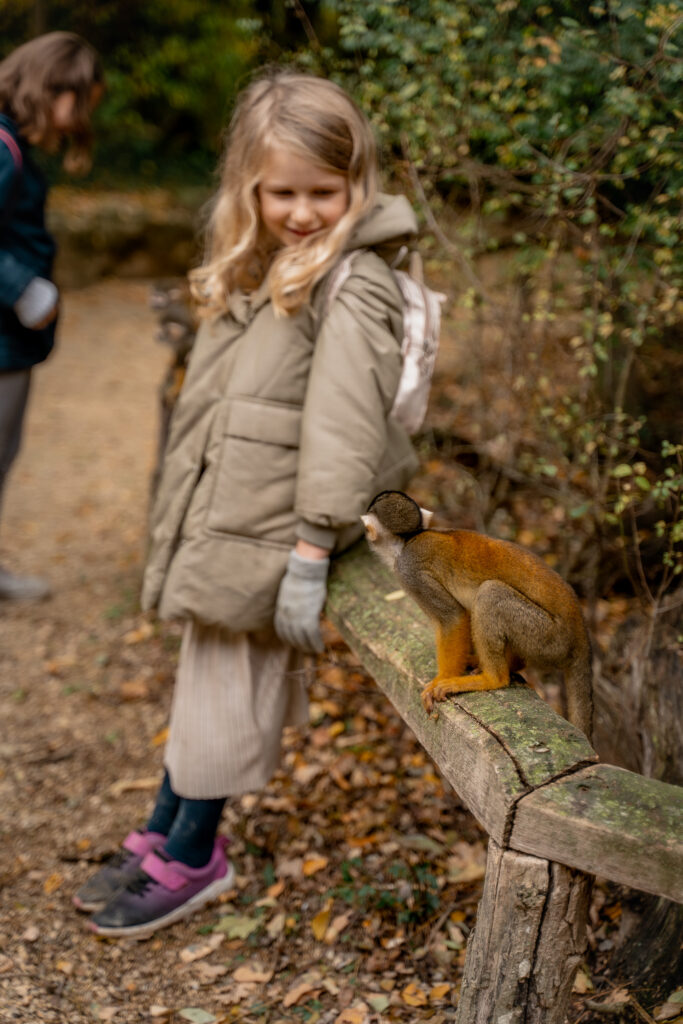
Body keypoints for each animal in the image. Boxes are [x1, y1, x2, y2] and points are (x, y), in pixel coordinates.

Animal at [361, 491, 593, 738]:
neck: (409, 540)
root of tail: (580, 630)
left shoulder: (409, 573)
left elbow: (452, 617)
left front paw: (441, 679)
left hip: (548, 638)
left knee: (490, 593)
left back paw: (492, 679)